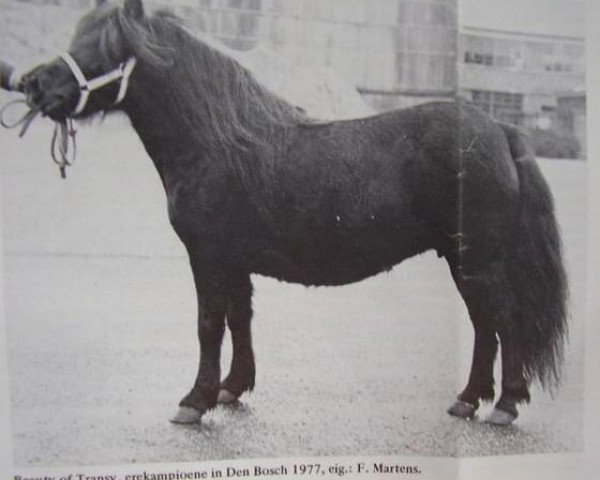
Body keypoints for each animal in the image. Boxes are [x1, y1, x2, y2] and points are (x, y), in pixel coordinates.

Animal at [15, 0, 568, 428]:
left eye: (105, 47)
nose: (32, 84)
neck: (219, 142)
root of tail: (498, 129)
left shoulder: (208, 257)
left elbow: (209, 323)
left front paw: (194, 400)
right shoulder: (233, 262)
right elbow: (239, 318)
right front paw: (232, 388)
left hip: (478, 260)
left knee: (503, 321)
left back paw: (504, 405)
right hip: (463, 260)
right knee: (484, 325)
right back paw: (469, 399)